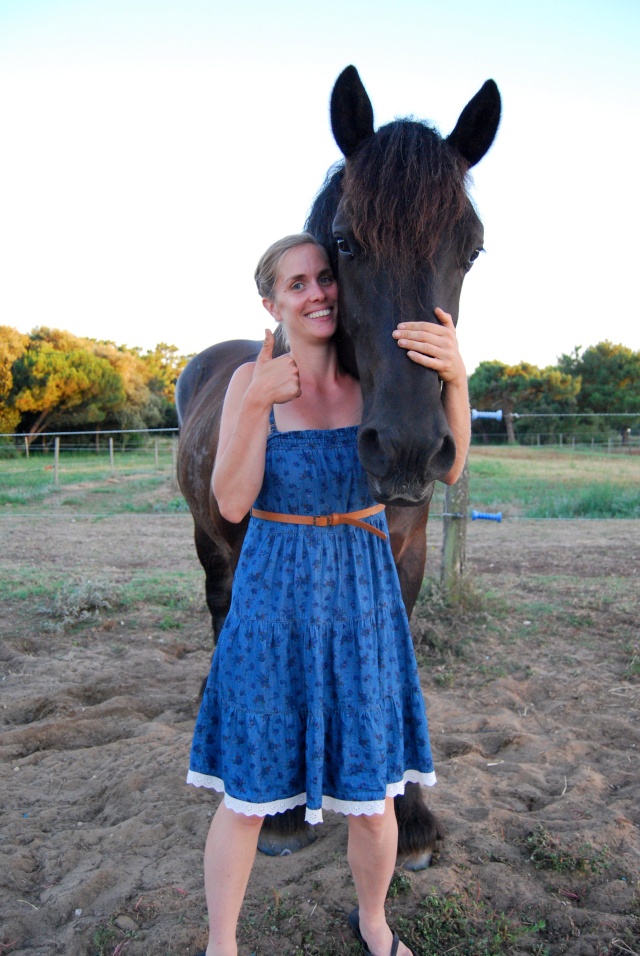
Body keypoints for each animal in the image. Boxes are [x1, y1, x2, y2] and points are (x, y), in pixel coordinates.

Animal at [176, 67, 500, 872]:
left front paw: (409, 812)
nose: (410, 448)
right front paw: (286, 810)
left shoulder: (405, 549)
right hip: (208, 537)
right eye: (347, 242)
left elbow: (394, 656)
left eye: (472, 250)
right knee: (221, 608)